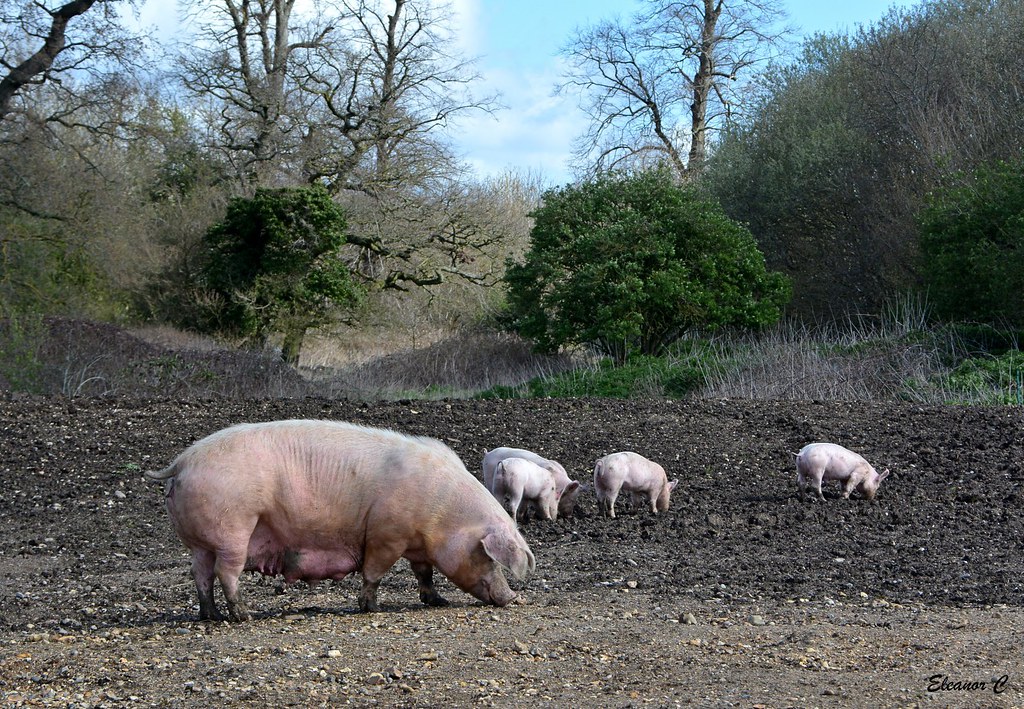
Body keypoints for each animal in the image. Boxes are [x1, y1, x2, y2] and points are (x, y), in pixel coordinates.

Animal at [146, 420, 536, 622]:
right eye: (488, 556)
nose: (514, 597)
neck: (443, 514)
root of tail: (181, 462)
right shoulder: (386, 534)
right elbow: (374, 571)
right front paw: (371, 608)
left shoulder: (417, 544)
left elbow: (423, 573)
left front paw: (436, 601)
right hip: (234, 530)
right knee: (226, 572)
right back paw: (243, 615)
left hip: (200, 541)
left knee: (200, 573)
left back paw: (209, 614)